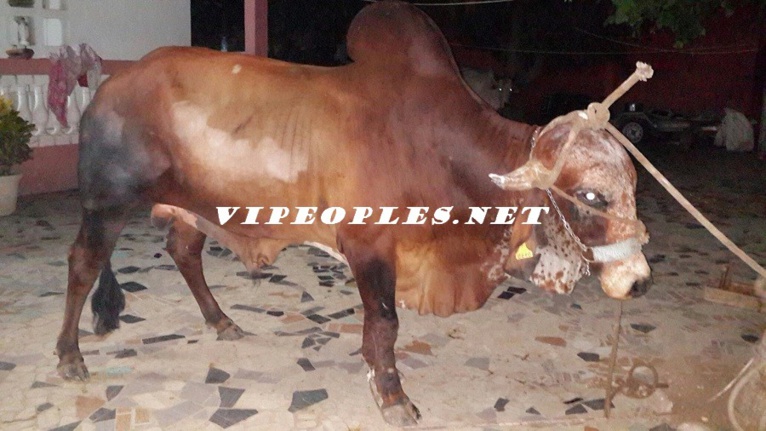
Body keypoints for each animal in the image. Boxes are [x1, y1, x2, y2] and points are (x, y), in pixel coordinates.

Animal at [55, 1, 652, 426]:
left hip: (190, 206)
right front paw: (392, 395)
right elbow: (384, 322)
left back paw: (221, 321)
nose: (639, 280)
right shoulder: (369, 246)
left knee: (183, 251)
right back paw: (69, 356)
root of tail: (110, 84)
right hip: (106, 203)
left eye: (632, 188)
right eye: (592, 197)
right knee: (84, 264)